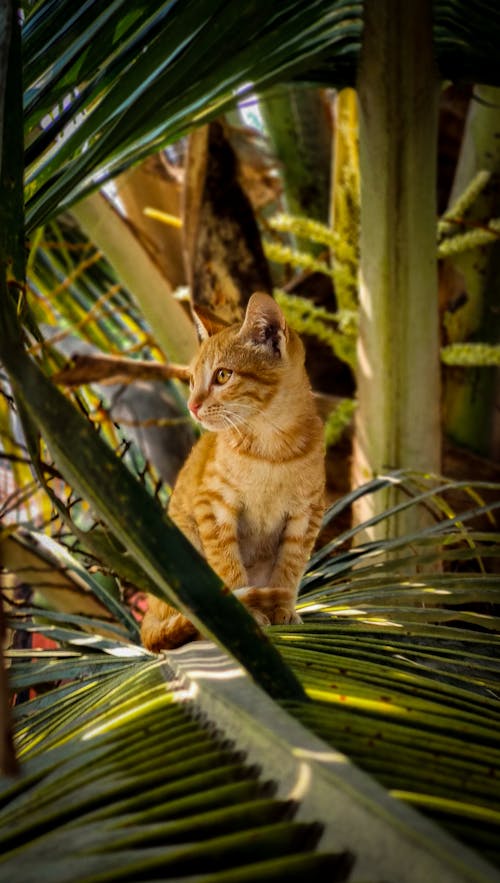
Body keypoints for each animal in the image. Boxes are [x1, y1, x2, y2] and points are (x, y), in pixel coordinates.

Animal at [141, 294, 326, 652]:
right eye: (191, 380)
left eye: (223, 376)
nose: (192, 406)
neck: (272, 450)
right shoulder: (213, 505)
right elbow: (227, 565)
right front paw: (249, 616)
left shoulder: (308, 513)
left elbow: (291, 566)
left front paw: (283, 608)